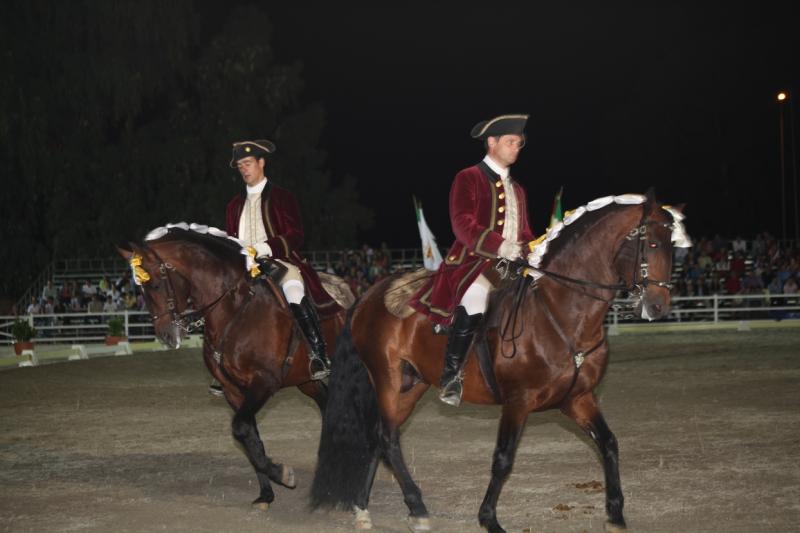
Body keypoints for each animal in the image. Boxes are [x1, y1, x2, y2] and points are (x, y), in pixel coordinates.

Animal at [116, 222, 350, 510]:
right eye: (140, 290)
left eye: (157, 285)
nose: (167, 337)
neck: (233, 309)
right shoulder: (233, 390)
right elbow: (249, 436)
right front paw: (267, 492)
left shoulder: (264, 382)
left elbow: (241, 428)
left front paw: (283, 474)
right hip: (307, 381)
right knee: (327, 405)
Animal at [310, 194, 692, 532]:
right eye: (652, 244)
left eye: (673, 247)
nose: (658, 306)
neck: (560, 311)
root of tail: (369, 295)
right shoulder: (518, 401)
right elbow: (503, 459)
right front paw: (489, 519)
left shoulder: (577, 399)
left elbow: (609, 444)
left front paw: (615, 514)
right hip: (387, 380)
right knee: (388, 439)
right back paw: (416, 508)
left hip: (410, 385)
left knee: (377, 438)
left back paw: (362, 508)